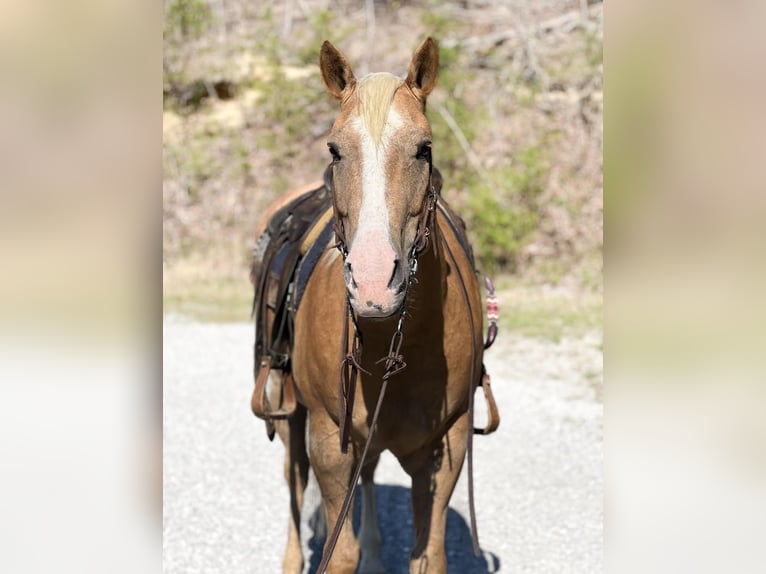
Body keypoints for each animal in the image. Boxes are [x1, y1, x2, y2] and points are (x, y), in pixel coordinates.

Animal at [249, 38, 496, 572]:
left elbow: (428, 554)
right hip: (291, 410)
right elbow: (340, 552)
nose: (373, 282)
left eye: (424, 149)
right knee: (293, 479)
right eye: (334, 149)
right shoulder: (328, 439)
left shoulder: (447, 447)